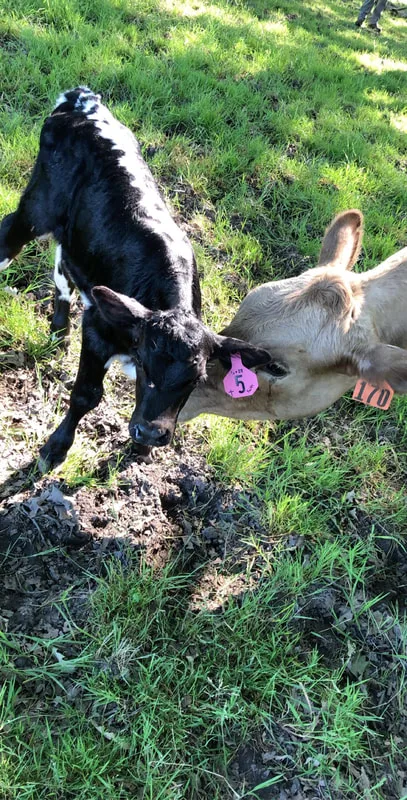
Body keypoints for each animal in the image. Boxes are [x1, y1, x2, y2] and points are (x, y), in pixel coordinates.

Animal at [0, 87, 270, 469]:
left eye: (197, 378)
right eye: (144, 361)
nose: (151, 433)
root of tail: (84, 100)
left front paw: (141, 450)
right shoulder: (97, 329)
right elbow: (86, 395)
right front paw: (56, 447)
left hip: (76, 234)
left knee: (63, 266)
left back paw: (58, 334)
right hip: (37, 206)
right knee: (10, 231)